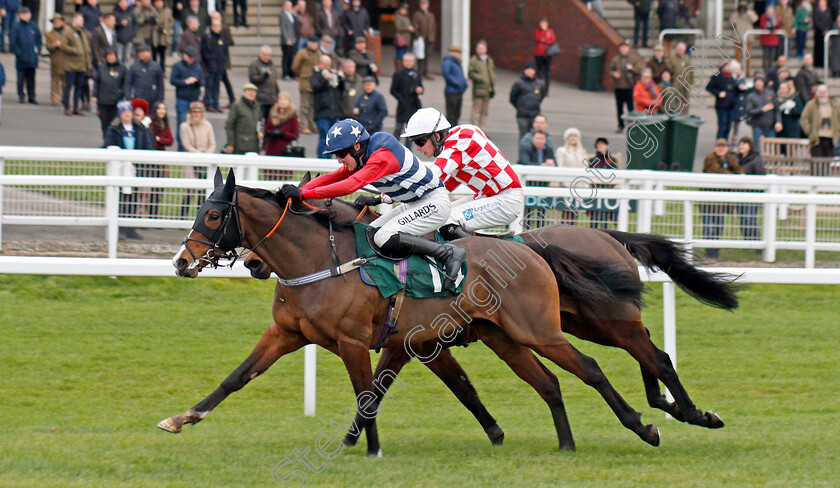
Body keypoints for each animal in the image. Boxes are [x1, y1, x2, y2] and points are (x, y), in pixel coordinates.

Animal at [159, 170, 664, 452]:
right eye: (199, 210)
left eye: (212, 215)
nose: (181, 261)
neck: (318, 260)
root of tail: (532, 252)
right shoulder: (289, 334)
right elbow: (236, 377)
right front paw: (180, 419)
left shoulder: (355, 341)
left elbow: (367, 396)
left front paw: (368, 449)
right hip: (505, 336)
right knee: (550, 382)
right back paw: (567, 443)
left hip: (542, 329)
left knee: (595, 366)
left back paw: (646, 424)